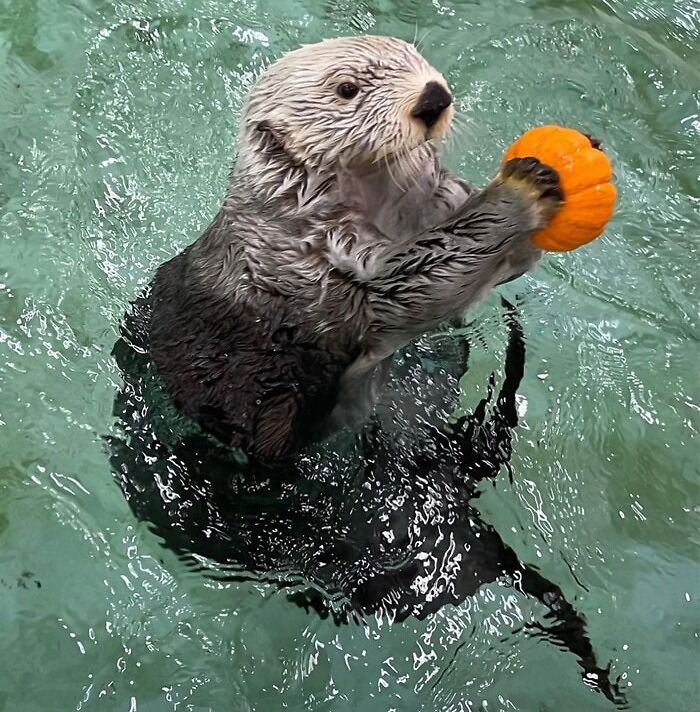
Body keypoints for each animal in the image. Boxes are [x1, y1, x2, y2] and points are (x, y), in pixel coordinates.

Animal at [143, 35, 562, 461]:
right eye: (347, 89)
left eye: (418, 58)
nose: (433, 98)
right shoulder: (327, 261)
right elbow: (419, 281)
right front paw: (521, 191)